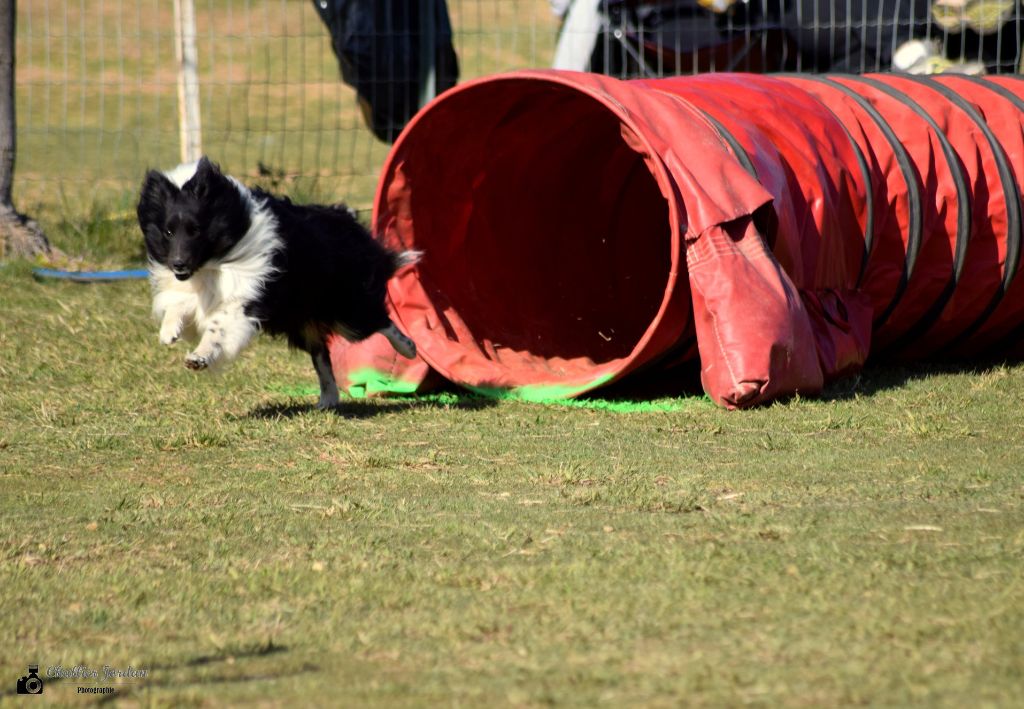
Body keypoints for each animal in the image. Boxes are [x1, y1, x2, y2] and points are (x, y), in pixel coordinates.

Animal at [138, 156, 417, 407]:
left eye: (195, 230)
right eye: (168, 232)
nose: (178, 264)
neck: (215, 260)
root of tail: (347, 219)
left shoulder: (246, 296)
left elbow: (219, 326)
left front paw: (198, 357)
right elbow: (178, 304)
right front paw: (168, 331)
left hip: (347, 313)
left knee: (379, 322)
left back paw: (409, 348)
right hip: (304, 321)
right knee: (321, 355)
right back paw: (328, 400)